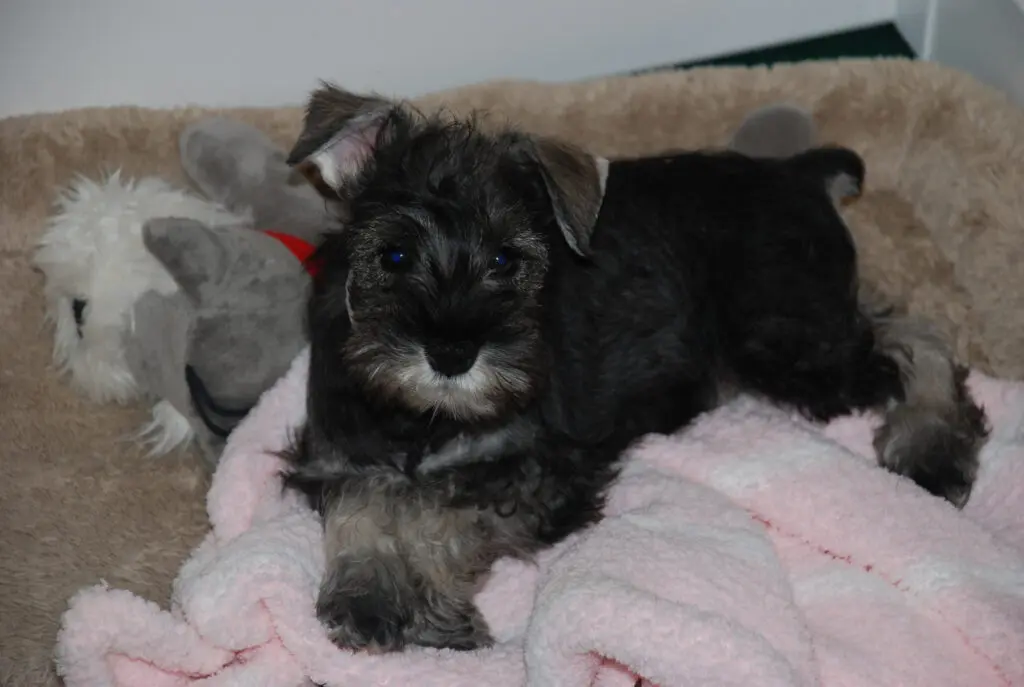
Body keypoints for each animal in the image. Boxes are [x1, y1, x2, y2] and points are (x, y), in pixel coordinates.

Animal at [278, 83, 983, 651]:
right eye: (393, 255)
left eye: (507, 259)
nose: (452, 353)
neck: (422, 417)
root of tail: (797, 174)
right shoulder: (334, 453)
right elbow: (370, 498)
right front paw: (368, 593)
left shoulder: (544, 469)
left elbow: (440, 510)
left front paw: (421, 605)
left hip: (789, 340)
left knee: (918, 335)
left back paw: (930, 446)